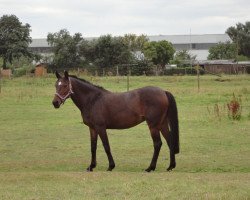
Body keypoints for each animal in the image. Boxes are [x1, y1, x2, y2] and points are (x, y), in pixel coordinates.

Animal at [51, 70, 179, 172]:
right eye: (56, 85)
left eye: (65, 85)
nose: (55, 103)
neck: (93, 100)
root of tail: (163, 92)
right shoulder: (92, 128)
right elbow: (93, 147)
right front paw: (91, 166)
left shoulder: (100, 127)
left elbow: (106, 146)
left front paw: (110, 166)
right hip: (162, 124)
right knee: (169, 141)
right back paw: (170, 166)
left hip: (153, 125)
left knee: (157, 144)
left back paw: (150, 168)